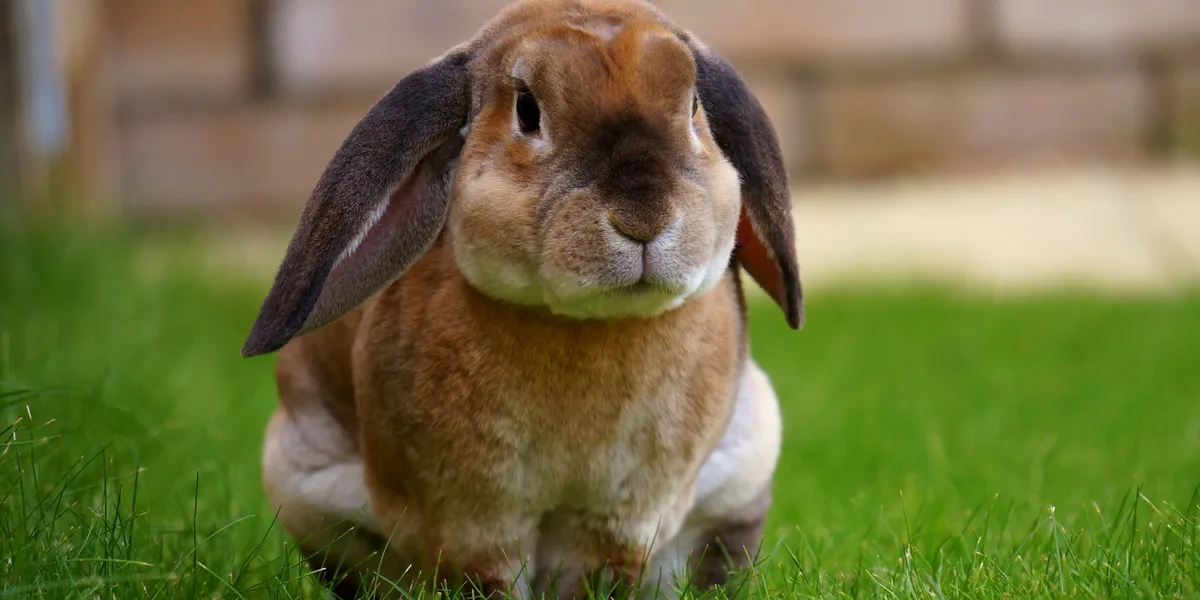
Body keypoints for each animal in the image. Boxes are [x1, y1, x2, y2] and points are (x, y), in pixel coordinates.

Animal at [244, 0, 802, 597]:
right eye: (528, 111)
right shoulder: (470, 520)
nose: (644, 219)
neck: (585, 325)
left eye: (694, 104)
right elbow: (487, 577)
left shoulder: (619, 520)